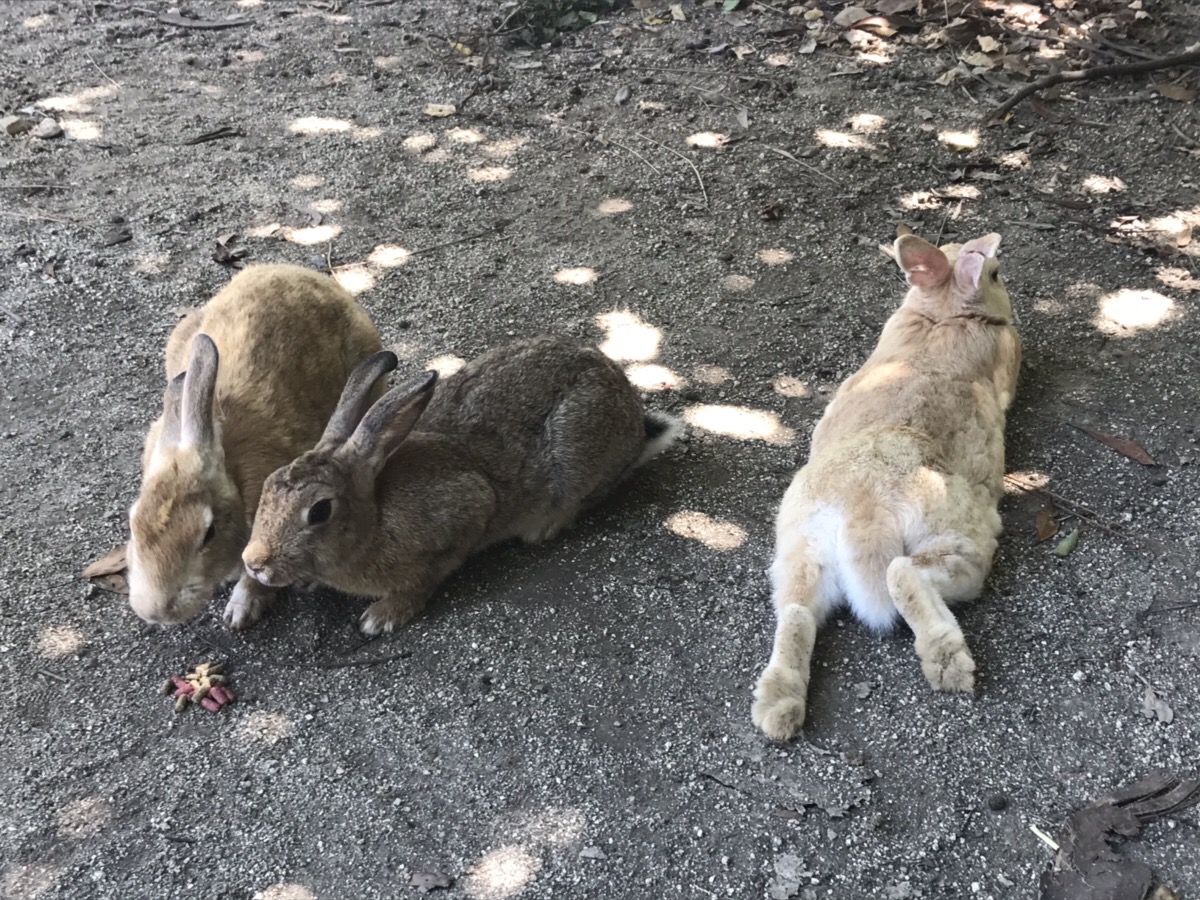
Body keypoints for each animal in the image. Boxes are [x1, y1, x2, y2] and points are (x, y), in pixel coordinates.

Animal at [241, 336, 686, 638]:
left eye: (320, 511)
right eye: (267, 488)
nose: (254, 563)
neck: (375, 519)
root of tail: (633, 420)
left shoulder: (466, 512)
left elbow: (428, 576)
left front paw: (382, 617)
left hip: (577, 452)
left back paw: (542, 528)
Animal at [748, 229, 1022, 744]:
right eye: (995, 275)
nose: (1006, 293)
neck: (944, 312)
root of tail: (863, 510)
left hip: (801, 548)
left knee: (796, 612)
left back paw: (776, 708)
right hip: (961, 539)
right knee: (902, 573)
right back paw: (947, 662)